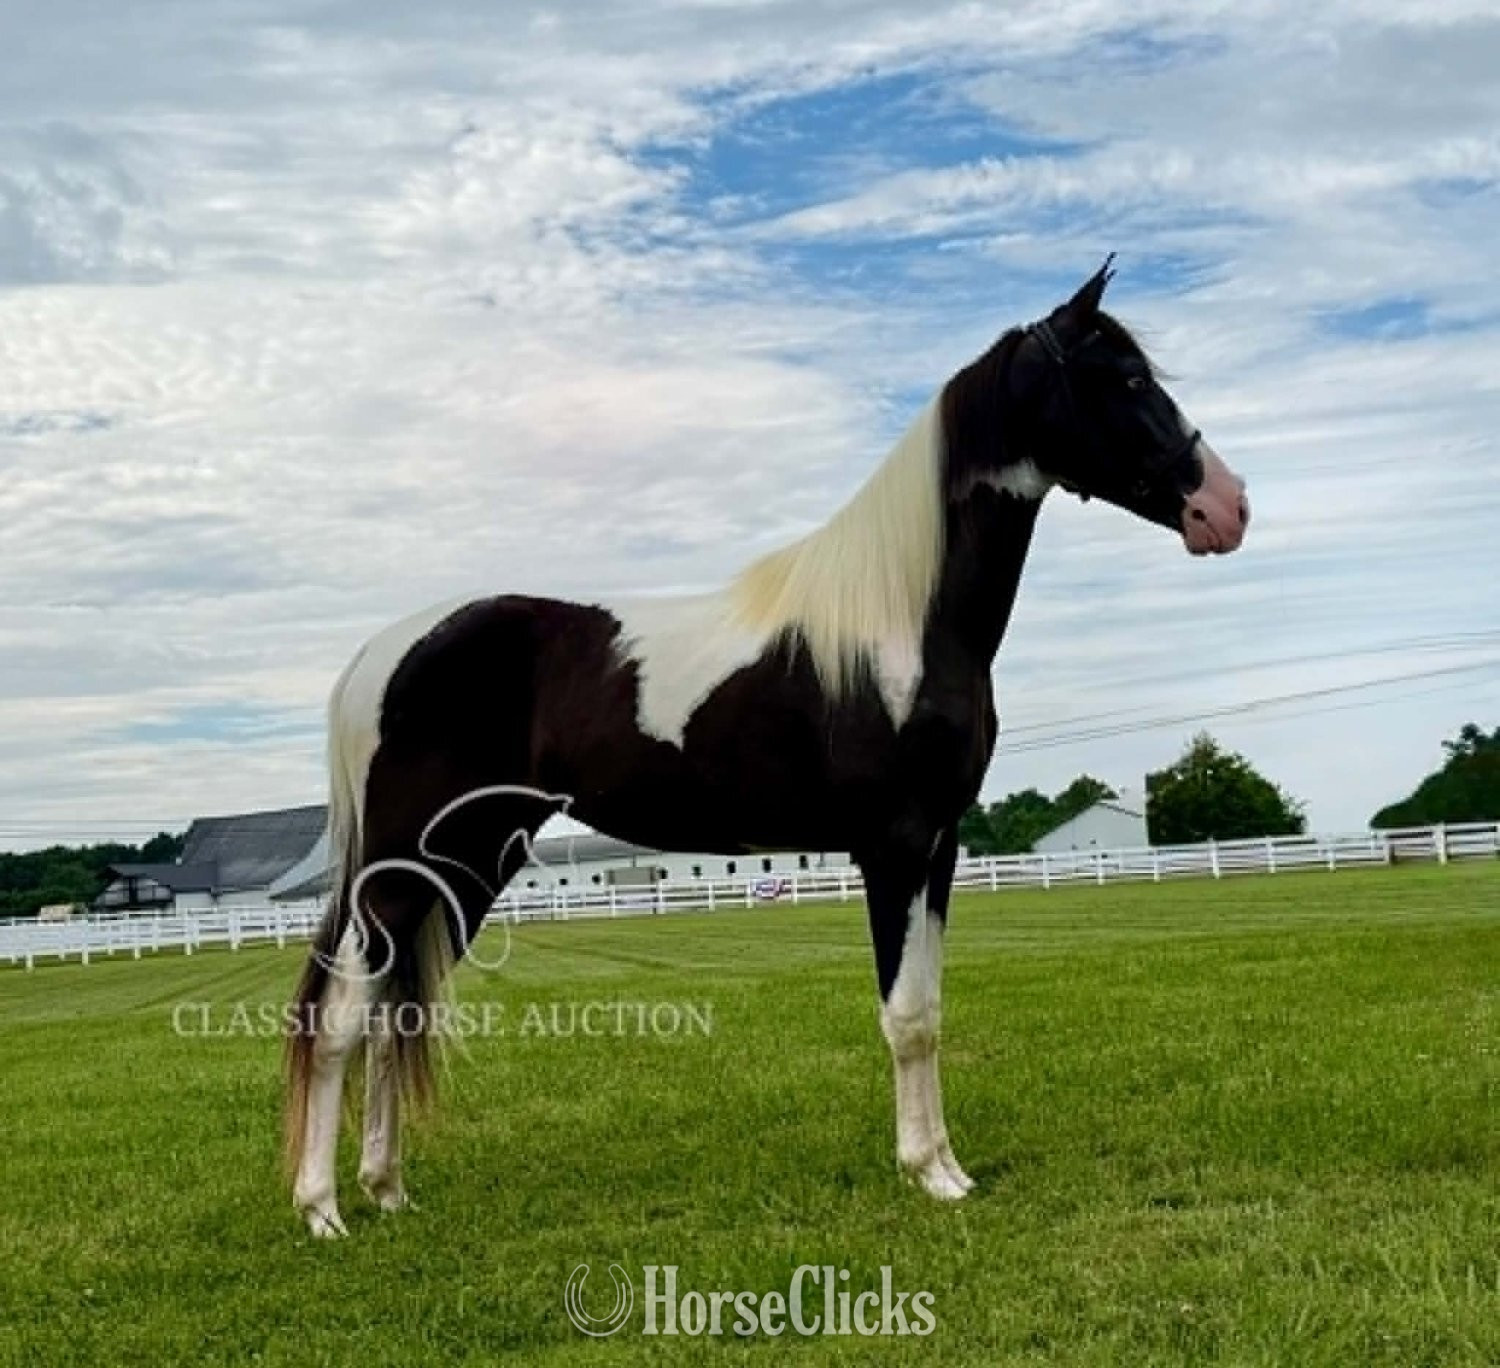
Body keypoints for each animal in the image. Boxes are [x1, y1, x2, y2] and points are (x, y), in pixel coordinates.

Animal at [284, 259, 1249, 1237]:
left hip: (469, 862)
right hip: (404, 869)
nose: (1227, 506)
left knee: (392, 1012)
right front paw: (926, 1174)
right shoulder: (893, 846)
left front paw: (948, 1164)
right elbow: (904, 1015)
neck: (902, 619)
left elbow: (931, 1007)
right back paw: (323, 1210)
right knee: (343, 1014)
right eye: (1123, 379)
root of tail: (377, 657)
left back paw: (387, 1189)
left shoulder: (939, 849)